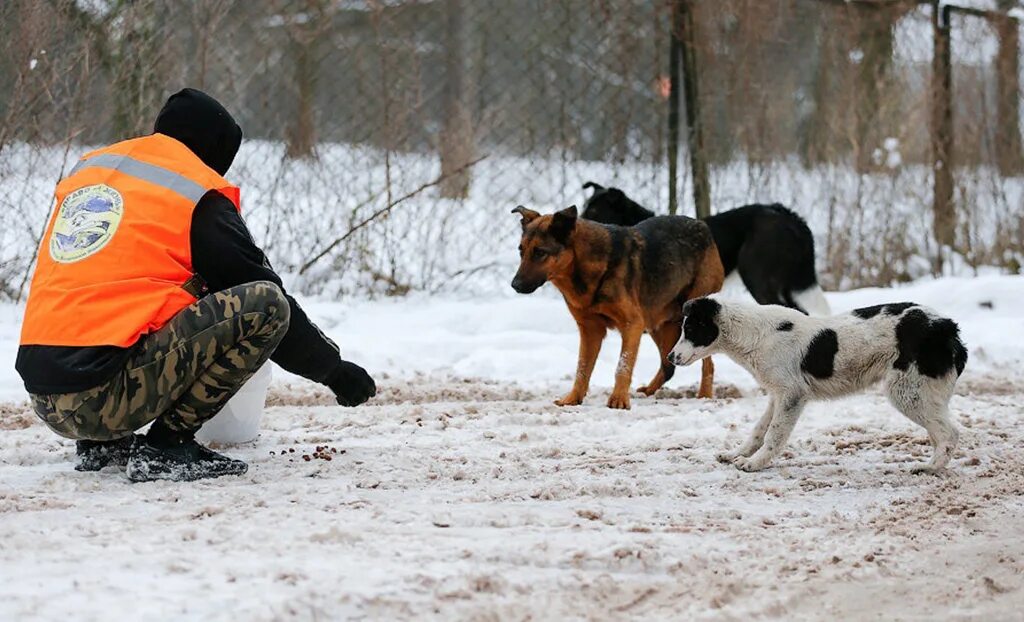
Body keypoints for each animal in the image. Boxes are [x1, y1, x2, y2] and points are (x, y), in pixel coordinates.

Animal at [509, 202, 720, 409]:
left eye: (540, 252)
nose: (515, 285)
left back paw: (704, 394)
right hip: (657, 323)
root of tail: (703, 226)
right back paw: (648, 392)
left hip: (691, 320)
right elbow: (582, 368)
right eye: (521, 251)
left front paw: (619, 399)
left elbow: (622, 365)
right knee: (668, 367)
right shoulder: (591, 331)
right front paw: (573, 398)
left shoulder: (632, 325)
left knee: (707, 364)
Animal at [667, 299, 962, 475]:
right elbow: (759, 430)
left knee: (950, 433)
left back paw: (931, 468)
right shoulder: (777, 395)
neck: (754, 335)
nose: (670, 357)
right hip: (923, 394)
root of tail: (947, 328)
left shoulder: (791, 396)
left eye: (691, 329)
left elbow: (774, 434)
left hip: (907, 392)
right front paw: (736, 454)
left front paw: (754, 463)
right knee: (942, 432)